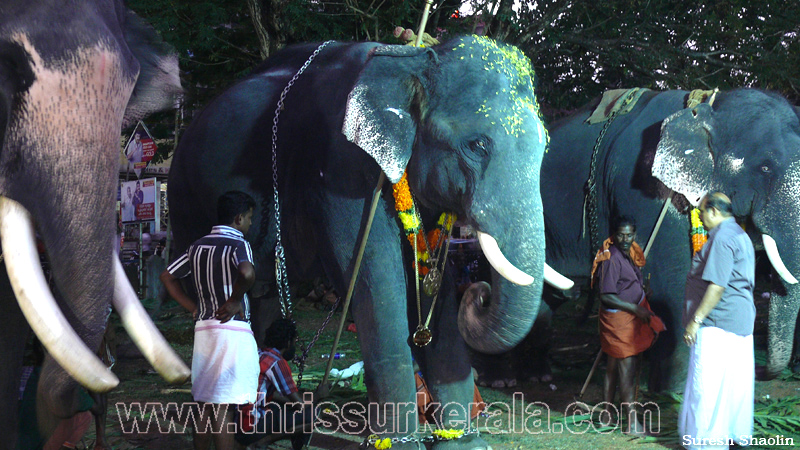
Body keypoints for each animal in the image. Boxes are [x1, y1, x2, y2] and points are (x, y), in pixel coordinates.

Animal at [167, 37, 568, 448]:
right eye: (476, 145)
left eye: (544, 146)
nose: (480, 292)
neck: (411, 61)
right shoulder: (341, 169)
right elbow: (377, 282)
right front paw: (402, 444)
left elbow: (432, 284)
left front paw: (462, 441)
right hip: (185, 200)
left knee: (261, 295)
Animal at [540, 87, 800, 390]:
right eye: (765, 168)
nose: (760, 371)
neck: (710, 107)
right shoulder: (645, 193)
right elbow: (673, 283)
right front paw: (673, 389)